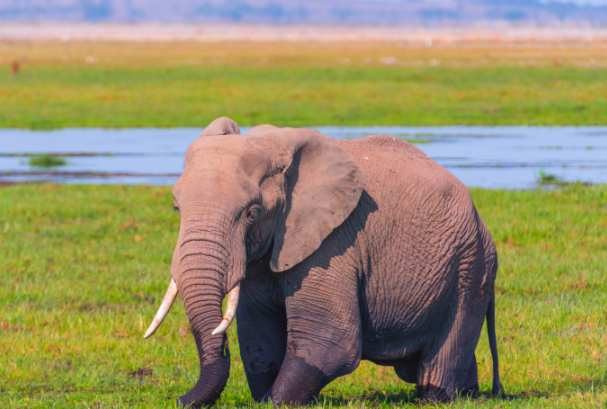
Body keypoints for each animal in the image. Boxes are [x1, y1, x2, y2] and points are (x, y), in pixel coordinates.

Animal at [142, 116, 504, 406]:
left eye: (252, 213)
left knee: (443, 355)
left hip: (469, 266)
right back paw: (470, 394)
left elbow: (329, 342)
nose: (178, 400)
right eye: (176, 207)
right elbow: (259, 336)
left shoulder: (332, 246)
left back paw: (437, 397)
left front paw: (274, 401)